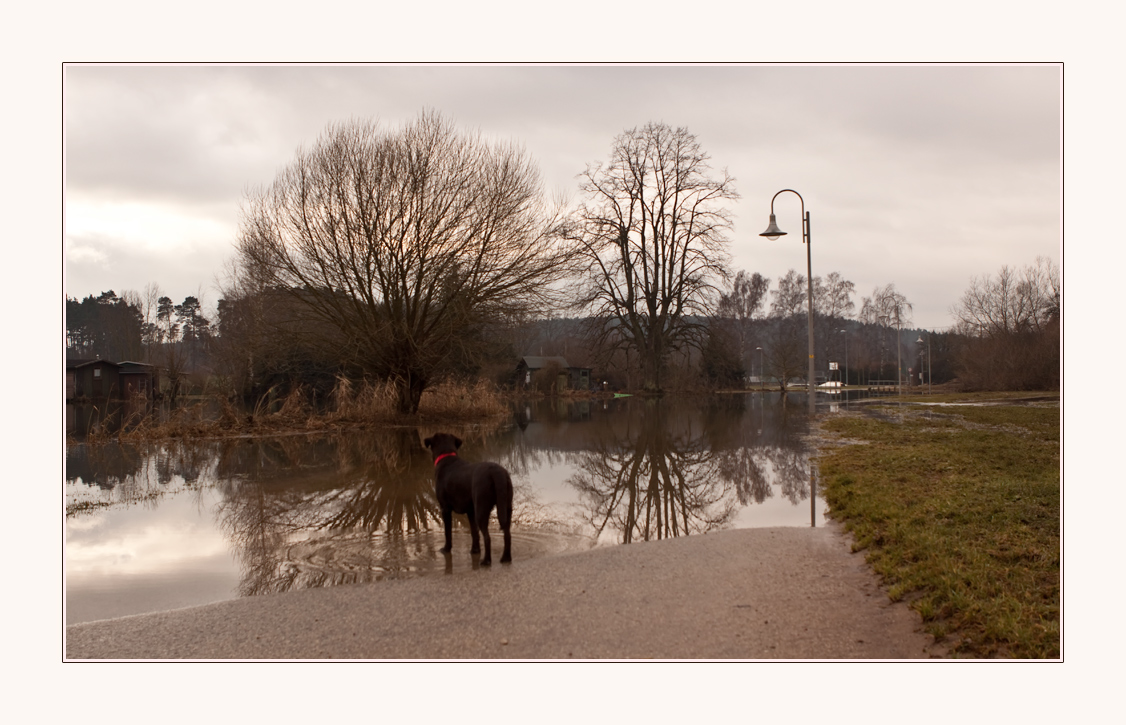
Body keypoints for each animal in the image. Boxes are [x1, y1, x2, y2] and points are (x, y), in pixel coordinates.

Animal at [423, 430, 513, 567]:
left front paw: (446, 549)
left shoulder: (445, 508)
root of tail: (496, 472)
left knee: (487, 537)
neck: (447, 456)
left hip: (481, 509)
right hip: (506, 506)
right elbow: (473, 532)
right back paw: (505, 558)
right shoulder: (470, 511)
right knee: (507, 533)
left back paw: (486, 561)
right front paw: (475, 550)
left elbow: (448, 532)